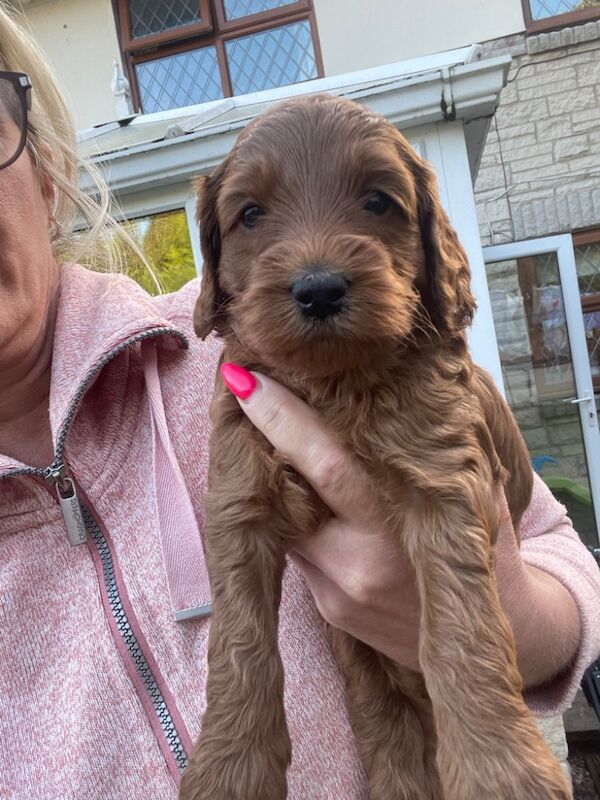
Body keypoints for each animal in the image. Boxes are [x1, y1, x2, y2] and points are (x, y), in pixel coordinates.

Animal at [180, 95, 576, 800]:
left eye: (377, 201)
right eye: (250, 214)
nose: (318, 289)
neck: (335, 386)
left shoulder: (443, 480)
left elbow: (460, 626)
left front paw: (500, 771)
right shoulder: (239, 496)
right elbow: (238, 643)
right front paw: (228, 771)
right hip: (361, 665)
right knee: (384, 726)